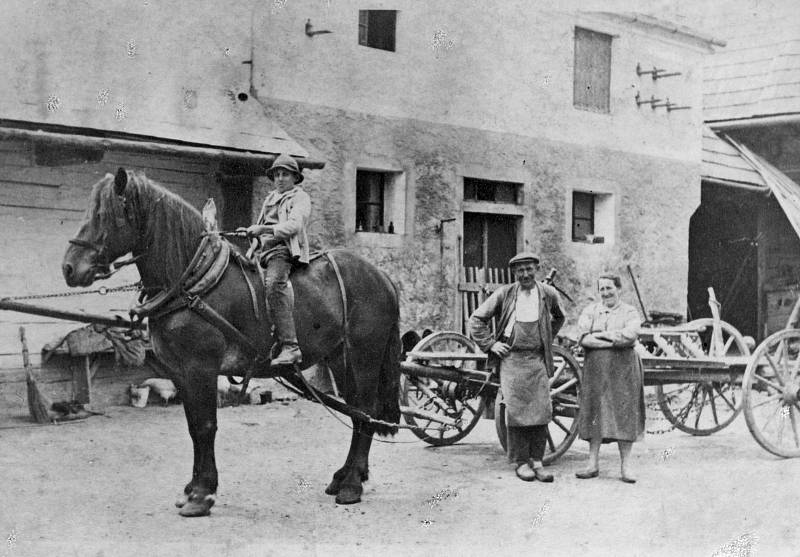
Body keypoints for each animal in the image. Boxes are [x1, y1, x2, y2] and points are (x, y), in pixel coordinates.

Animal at [59, 168, 404, 516]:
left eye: (104, 215)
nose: (69, 268)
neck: (193, 283)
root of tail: (382, 277)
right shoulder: (180, 373)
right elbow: (193, 427)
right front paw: (192, 489)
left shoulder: (201, 368)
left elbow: (205, 426)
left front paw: (202, 495)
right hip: (339, 358)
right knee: (357, 412)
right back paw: (344, 476)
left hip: (364, 357)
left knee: (365, 409)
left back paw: (351, 486)